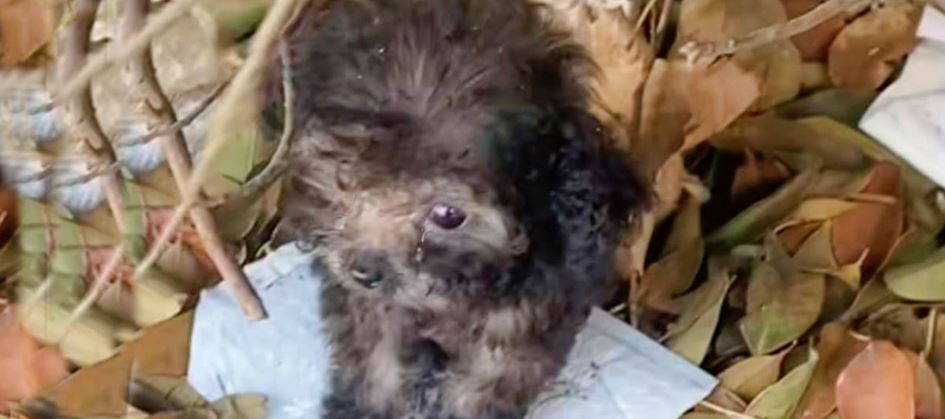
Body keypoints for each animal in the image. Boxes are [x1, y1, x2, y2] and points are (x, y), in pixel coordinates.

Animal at [272, 0, 640, 419]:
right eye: (344, 175)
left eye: (448, 215)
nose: (364, 271)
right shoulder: (368, 308)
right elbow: (373, 360)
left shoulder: (525, 321)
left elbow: (486, 383)